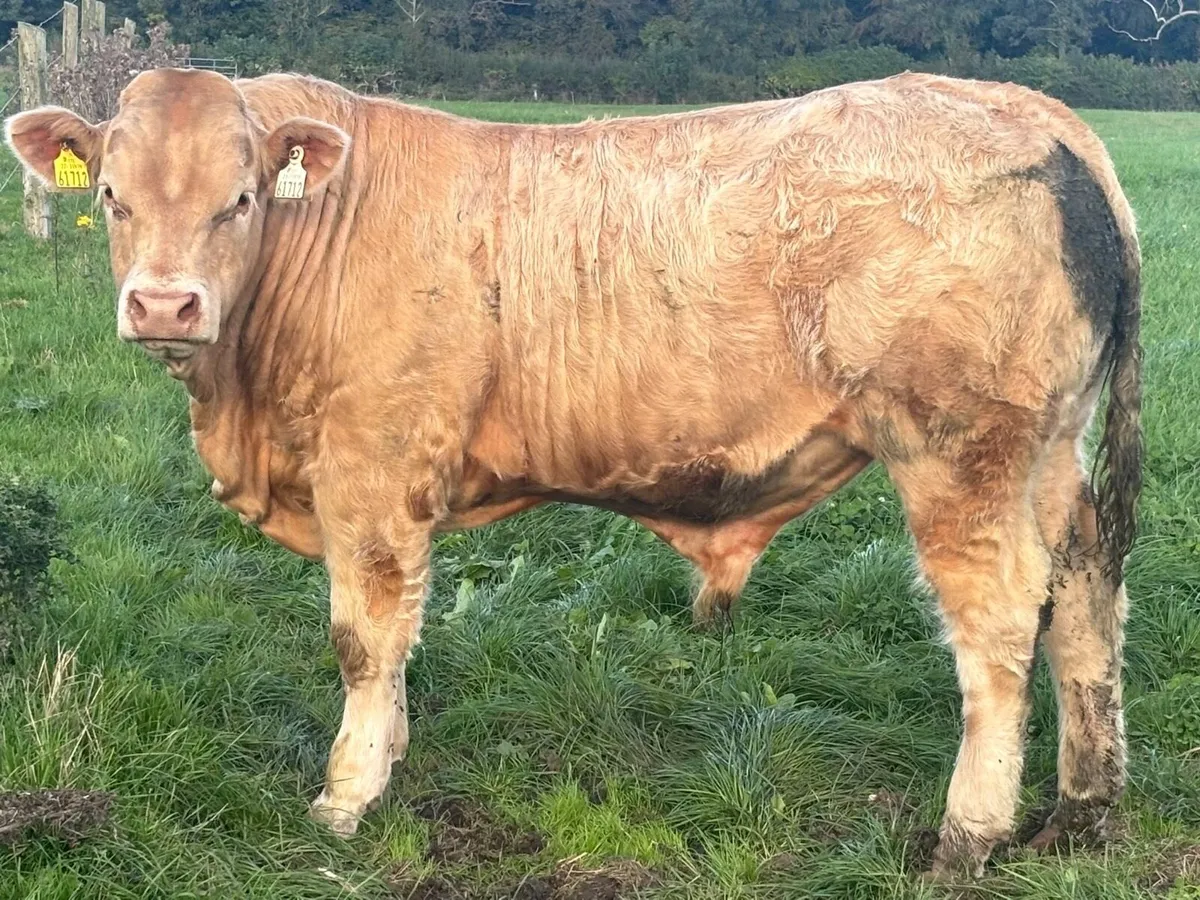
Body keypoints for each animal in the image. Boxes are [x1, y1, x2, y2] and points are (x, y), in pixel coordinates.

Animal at [6, 68, 1142, 878]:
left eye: (239, 200)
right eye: (110, 196)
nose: (164, 304)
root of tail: (1030, 110)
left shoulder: (372, 469)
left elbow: (364, 638)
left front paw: (346, 792)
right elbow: (401, 634)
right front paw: (391, 757)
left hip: (960, 453)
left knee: (1001, 620)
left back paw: (970, 831)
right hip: (1050, 451)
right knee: (1085, 589)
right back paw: (1083, 808)